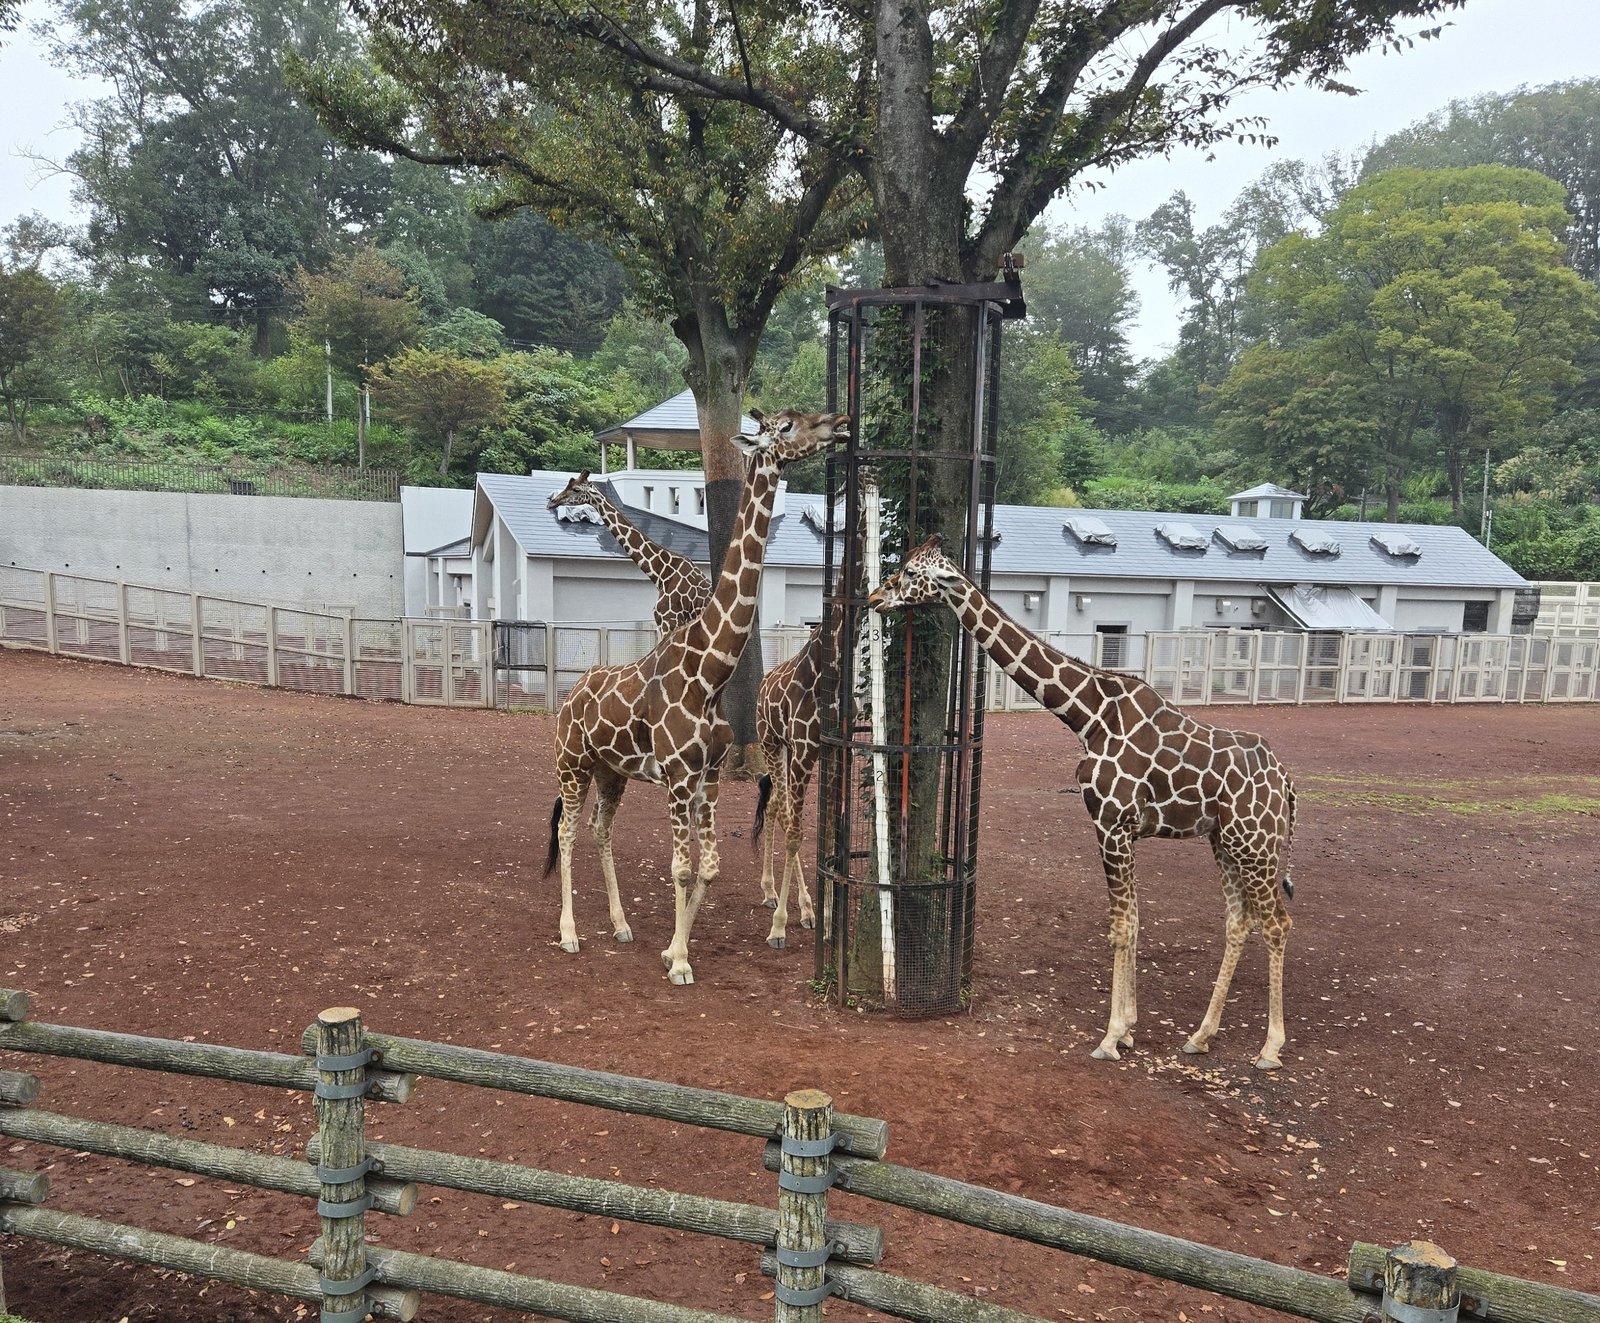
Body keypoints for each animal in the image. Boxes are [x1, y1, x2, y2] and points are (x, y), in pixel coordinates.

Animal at [868, 534, 1297, 1069]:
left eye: (910, 573)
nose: (874, 596)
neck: (1087, 715)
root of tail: (1286, 782)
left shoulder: (1111, 824)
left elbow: (1122, 926)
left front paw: (1111, 1037)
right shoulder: (1124, 830)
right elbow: (1134, 922)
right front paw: (1129, 1030)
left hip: (1257, 845)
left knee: (1277, 923)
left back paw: (1271, 1047)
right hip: (1226, 842)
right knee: (1239, 922)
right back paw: (1201, 1035)